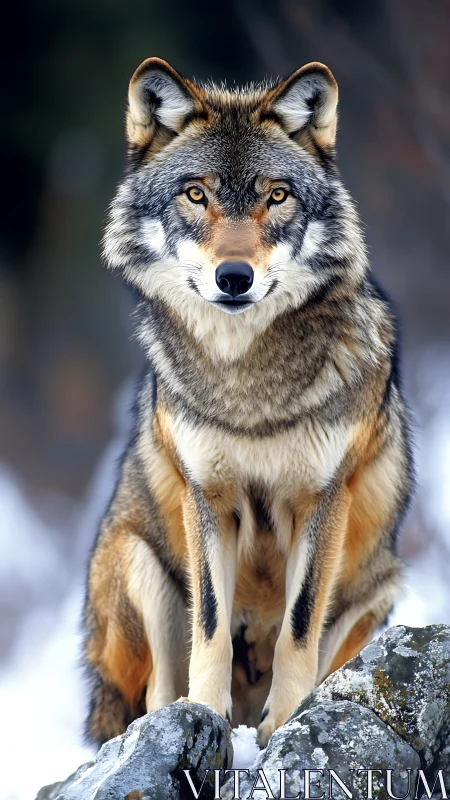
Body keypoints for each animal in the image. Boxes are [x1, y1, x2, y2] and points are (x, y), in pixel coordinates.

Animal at [83, 57, 413, 748]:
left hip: (379, 590)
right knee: (155, 690)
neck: (248, 393)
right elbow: (210, 626)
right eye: (196, 194)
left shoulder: (323, 500)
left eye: (277, 196)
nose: (233, 278)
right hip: (136, 558)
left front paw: (285, 724)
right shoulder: (208, 498)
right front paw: (205, 715)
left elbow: (297, 627)